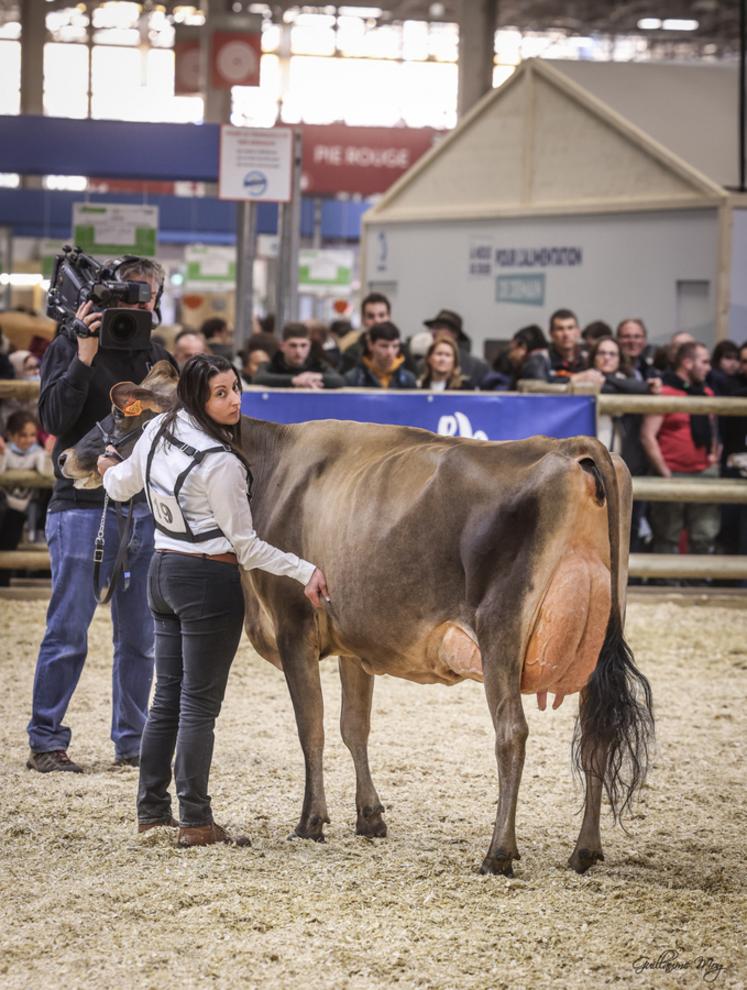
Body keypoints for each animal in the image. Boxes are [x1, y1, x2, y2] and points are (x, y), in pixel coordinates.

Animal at [64, 368, 656, 880]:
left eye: (119, 415)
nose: (68, 455)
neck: (267, 468)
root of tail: (572, 446)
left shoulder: (293, 627)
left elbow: (312, 727)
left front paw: (311, 821)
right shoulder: (354, 643)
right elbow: (355, 726)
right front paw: (369, 817)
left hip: (501, 632)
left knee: (511, 732)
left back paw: (498, 853)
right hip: (600, 632)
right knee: (597, 732)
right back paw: (585, 850)